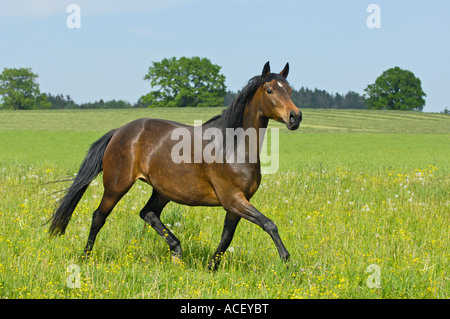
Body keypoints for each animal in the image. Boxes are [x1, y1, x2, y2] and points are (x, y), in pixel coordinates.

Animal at [48, 62, 302, 270]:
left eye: (289, 90)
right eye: (270, 90)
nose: (295, 117)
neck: (234, 147)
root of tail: (119, 131)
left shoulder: (236, 204)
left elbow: (227, 238)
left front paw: (210, 268)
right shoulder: (233, 199)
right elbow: (269, 225)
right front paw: (287, 262)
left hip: (162, 190)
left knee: (148, 213)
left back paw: (176, 252)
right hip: (116, 186)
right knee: (99, 217)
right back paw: (85, 258)